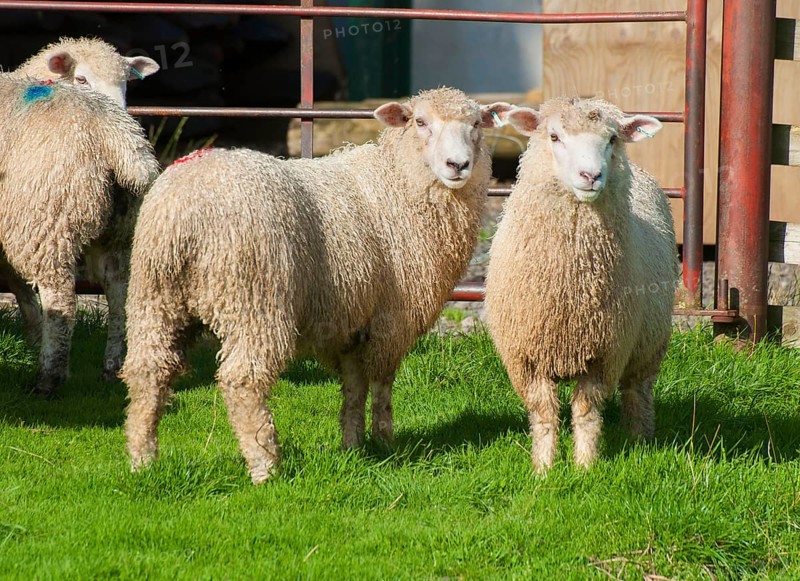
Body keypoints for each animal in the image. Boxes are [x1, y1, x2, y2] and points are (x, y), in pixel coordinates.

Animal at [0, 37, 159, 389]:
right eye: (82, 79)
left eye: (126, 84)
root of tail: (117, 134)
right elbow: (18, 287)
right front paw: (33, 334)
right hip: (119, 229)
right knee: (119, 293)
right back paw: (113, 367)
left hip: (46, 221)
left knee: (61, 300)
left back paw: (48, 378)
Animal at [120, 87, 513, 483]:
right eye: (420, 122)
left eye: (476, 123)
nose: (458, 165)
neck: (400, 182)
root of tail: (183, 208)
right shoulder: (391, 320)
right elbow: (382, 384)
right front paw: (385, 440)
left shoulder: (351, 322)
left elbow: (354, 386)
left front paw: (353, 444)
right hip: (256, 301)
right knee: (242, 382)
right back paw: (265, 466)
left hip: (154, 296)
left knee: (148, 371)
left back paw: (142, 461)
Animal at [485, 97, 678, 473]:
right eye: (554, 136)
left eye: (613, 138)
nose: (591, 176)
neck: (572, 281)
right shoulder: (526, 359)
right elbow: (544, 413)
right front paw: (544, 469)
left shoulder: (605, 354)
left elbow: (586, 411)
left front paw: (584, 467)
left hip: (649, 342)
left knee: (637, 391)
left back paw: (641, 440)